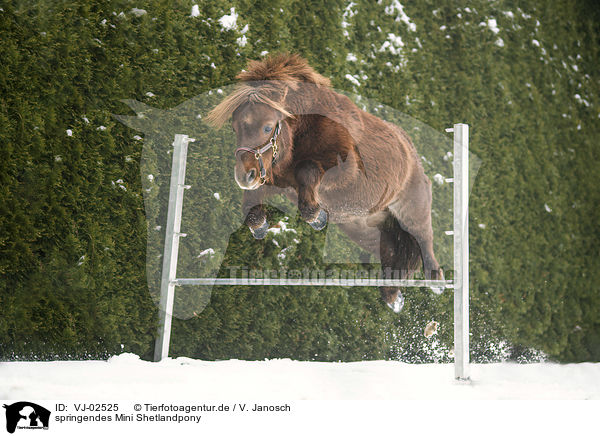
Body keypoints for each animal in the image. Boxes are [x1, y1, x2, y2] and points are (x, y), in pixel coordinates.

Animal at [209, 54, 442, 312]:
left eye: (267, 127)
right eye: (235, 127)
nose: (244, 177)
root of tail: (415, 162)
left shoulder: (344, 171)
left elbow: (307, 172)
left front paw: (315, 217)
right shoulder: (272, 180)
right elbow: (252, 208)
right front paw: (260, 225)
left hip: (413, 214)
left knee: (425, 242)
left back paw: (435, 282)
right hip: (362, 227)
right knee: (392, 255)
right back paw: (392, 296)